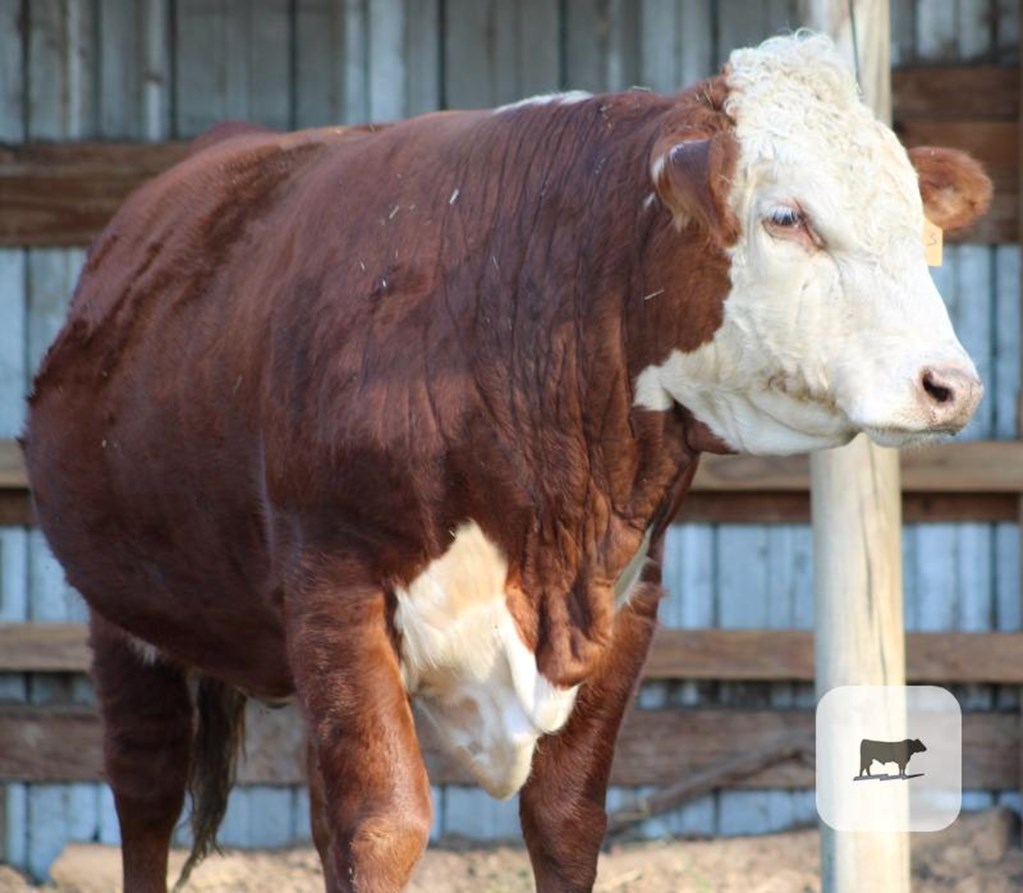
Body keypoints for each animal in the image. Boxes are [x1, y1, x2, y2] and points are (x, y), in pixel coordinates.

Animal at [24, 31, 990, 891]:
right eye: (784, 217)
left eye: (914, 219)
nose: (949, 384)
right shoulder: (335, 584)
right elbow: (383, 821)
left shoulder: (623, 597)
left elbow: (565, 817)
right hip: (122, 610)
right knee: (145, 790)